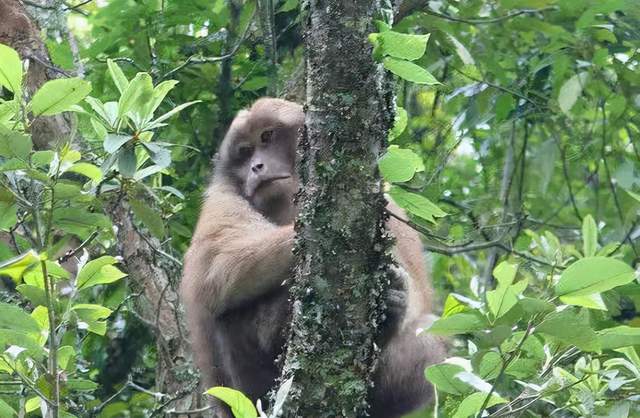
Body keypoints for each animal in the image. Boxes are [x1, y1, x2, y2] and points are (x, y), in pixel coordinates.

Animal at [180, 98, 444, 418]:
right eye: (244, 152)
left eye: (267, 137)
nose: (256, 166)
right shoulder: (222, 197)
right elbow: (215, 269)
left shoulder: (388, 209)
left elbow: (418, 298)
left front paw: (398, 296)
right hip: (243, 394)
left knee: (429, 336)